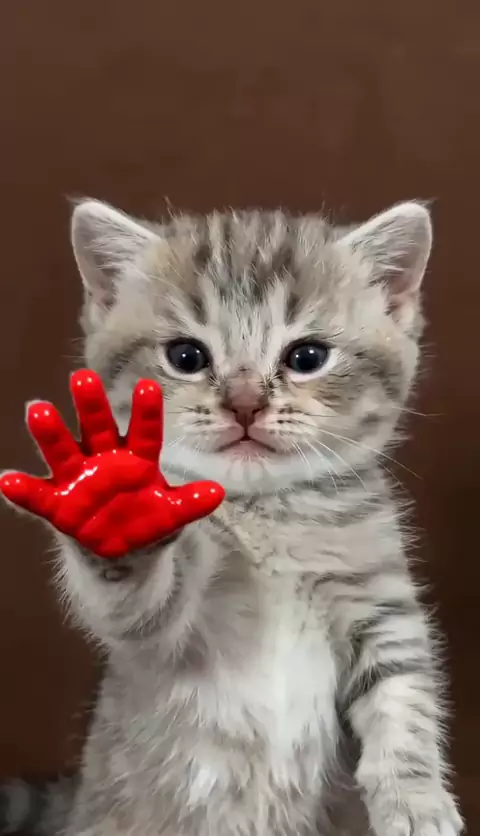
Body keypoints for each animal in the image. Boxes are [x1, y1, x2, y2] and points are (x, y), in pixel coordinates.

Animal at [0, 198, 463, 836]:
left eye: (307, 358)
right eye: (187, 357)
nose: (245, 403)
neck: (269, 516)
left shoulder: (380, 601)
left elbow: (404, 697)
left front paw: (416, 800)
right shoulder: (167, 628)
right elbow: (140, 605)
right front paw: (118, 503)